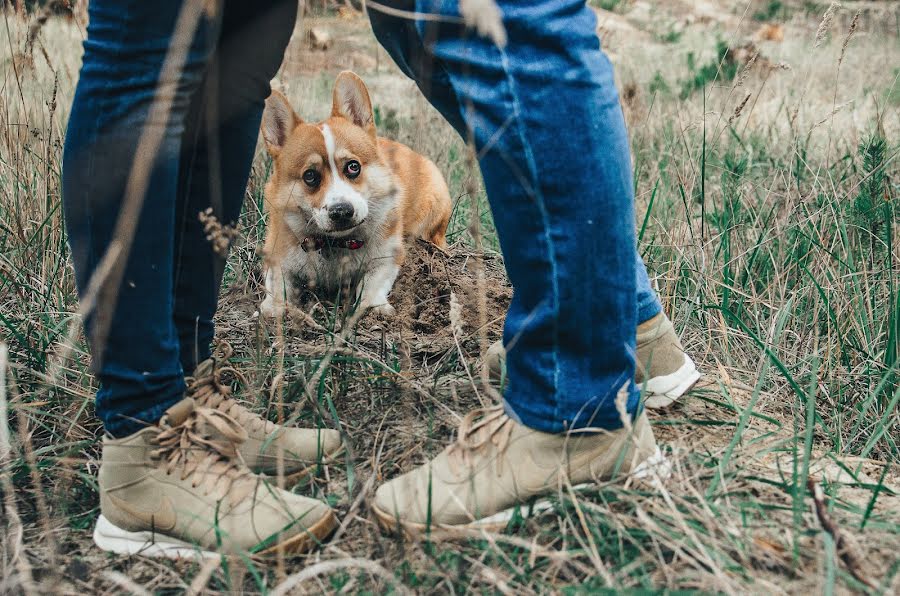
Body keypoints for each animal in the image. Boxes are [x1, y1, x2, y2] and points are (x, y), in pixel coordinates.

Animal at [258, 71, 450, 316]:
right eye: (310, 176)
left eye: (353, 166)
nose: (341, 211)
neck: (335, 243)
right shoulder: (276, 255)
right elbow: (277, 287)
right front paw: (272, 309)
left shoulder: (387, 257)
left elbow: (372, 286)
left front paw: (375, 307)